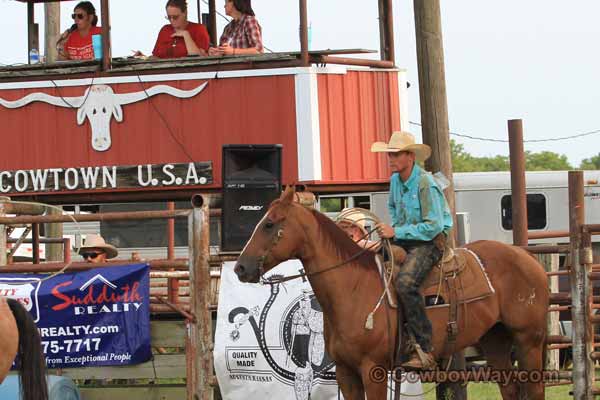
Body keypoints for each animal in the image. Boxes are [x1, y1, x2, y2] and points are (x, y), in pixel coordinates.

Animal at [233, 186, 548, 398]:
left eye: (269, 224)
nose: (240, 267)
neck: (353, 289)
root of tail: (526, 256)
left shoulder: (373, 370)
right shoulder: (346, 374)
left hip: (528, 340)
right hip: (495, 340)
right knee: (510, 387)